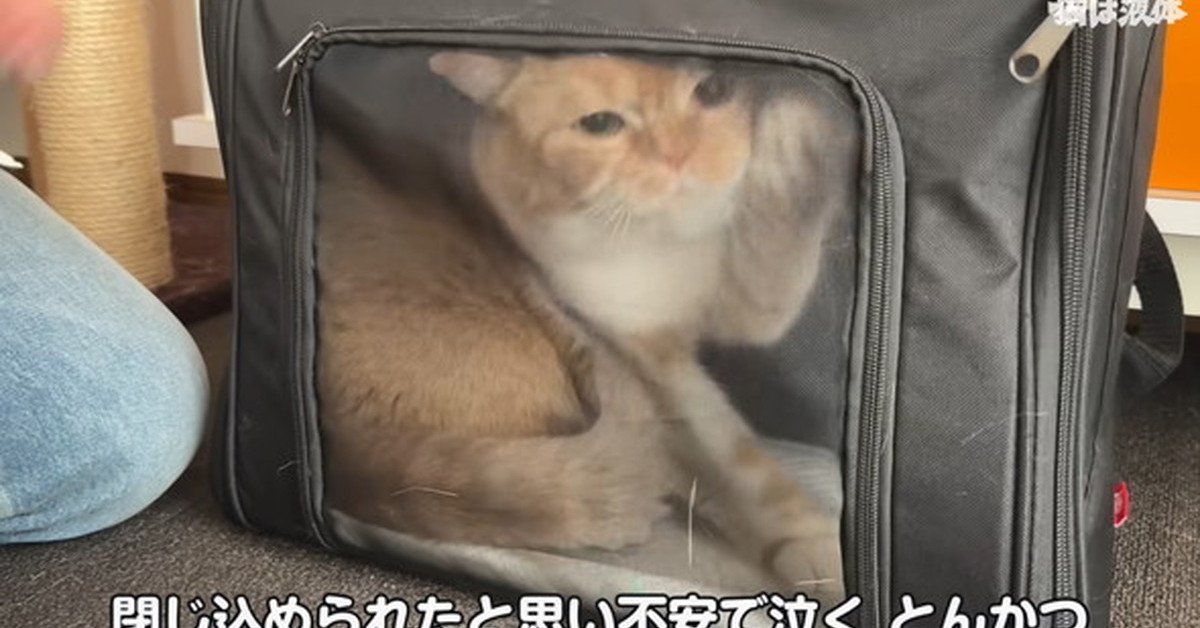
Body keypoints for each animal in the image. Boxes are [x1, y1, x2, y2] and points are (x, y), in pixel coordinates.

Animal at [316, 52, 857, 596]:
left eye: (714, 89)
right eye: (600, 124)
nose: (678, 157)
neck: (660, 247)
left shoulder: (727, 310)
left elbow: (770, 277)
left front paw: (798, 147)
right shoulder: (642, 352)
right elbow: (741, 459)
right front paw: (818, 553)